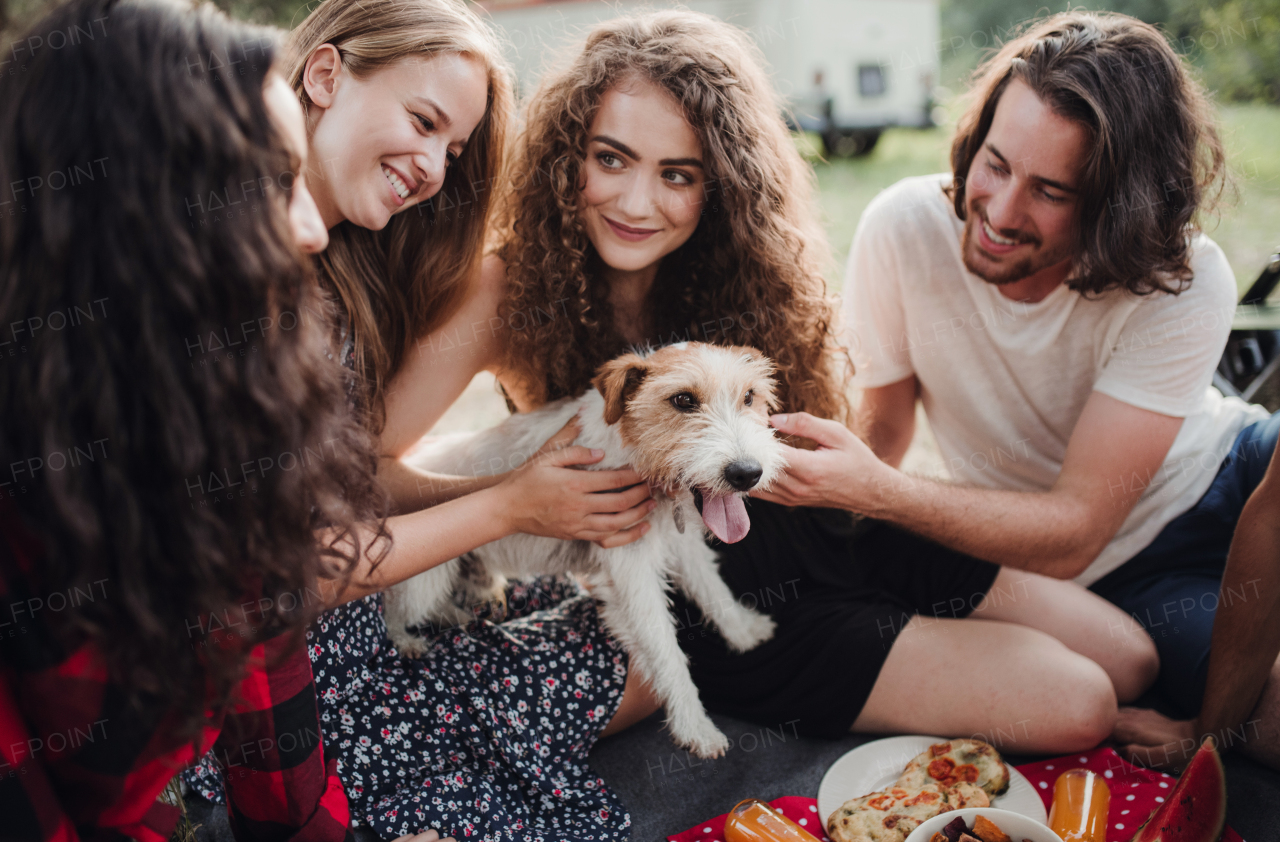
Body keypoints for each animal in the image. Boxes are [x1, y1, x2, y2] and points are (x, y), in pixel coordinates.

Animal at [386, 340, 788, 752]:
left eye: (749, 397)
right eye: (683, 400)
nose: (747, 473)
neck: (632, 451)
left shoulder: (684, 544)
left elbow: (713, 591)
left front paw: (744, 631)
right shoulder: (631, 569)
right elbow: (665, 651)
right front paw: (695, 727)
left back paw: (460, 619)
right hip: (423, 580)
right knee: (391, 610)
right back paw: (407, 642)